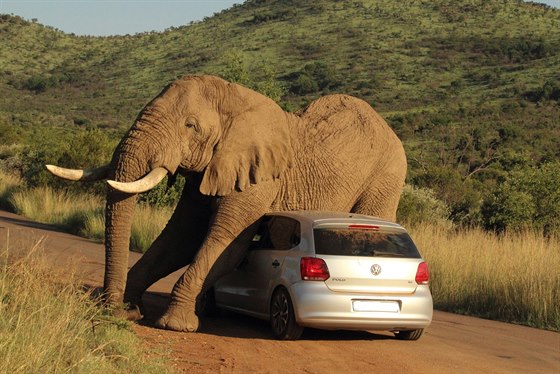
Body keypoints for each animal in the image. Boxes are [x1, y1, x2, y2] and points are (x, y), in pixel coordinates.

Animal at [47, 74, 406, 332]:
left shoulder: (259, 179)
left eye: (190, 126)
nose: (111, 312)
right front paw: (133, 310)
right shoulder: (209, 169)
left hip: (385, 177)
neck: (235, 99)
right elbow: (181, 238)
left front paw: (175, 325)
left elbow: (225, 245)